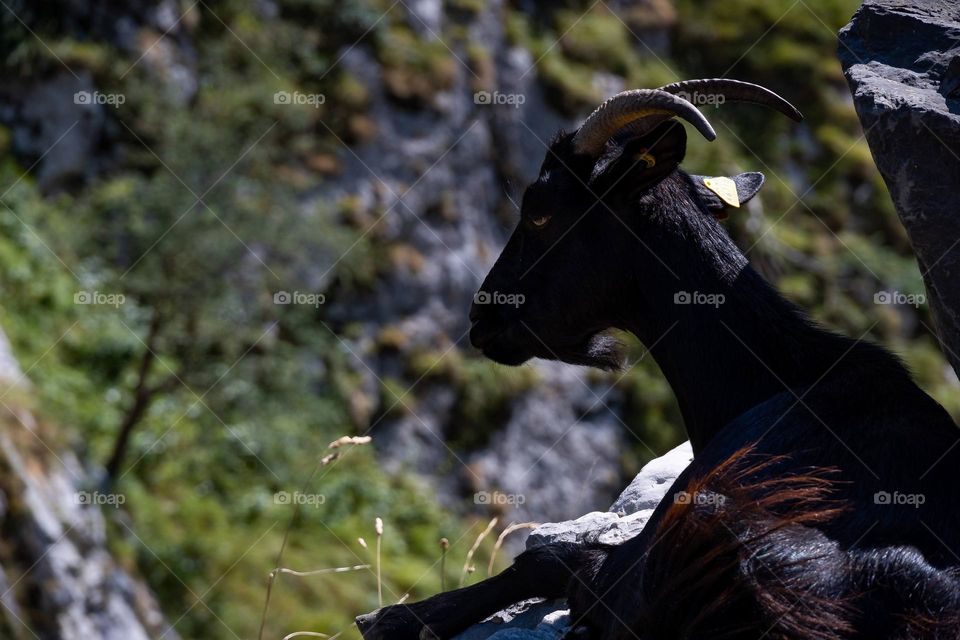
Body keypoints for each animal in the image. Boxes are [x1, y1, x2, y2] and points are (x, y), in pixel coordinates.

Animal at [356, 79, 960, 639]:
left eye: (539, 214)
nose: (481, 316)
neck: (780, 374)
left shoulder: (638, 555)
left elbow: (547, 557)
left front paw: (397, 615)